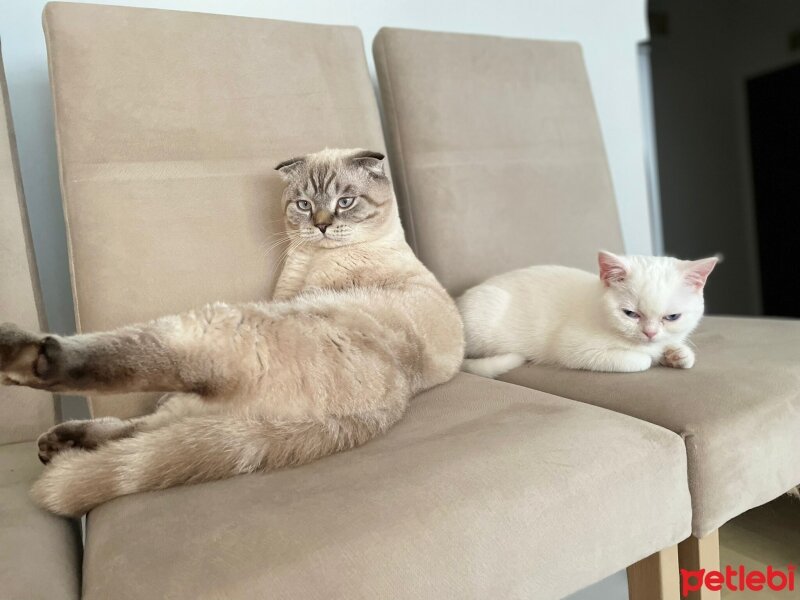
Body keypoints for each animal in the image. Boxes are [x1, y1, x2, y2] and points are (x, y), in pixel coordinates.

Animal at [0, 146, 462, 516]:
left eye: (345, 202)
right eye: (303, 204)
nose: (321, 225)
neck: (311, 256)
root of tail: (392, 399)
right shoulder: (286, 289)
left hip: (210, 330)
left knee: (126, 374)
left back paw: (21, 358)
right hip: (204, 401)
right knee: (144, 430)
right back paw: (56, 444)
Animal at [456, 251, 720, 378]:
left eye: (672, 317)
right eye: (630, 314)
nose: (650, 333)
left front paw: (677, 354)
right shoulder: (572, 348)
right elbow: (640, 360)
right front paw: (652, 356)